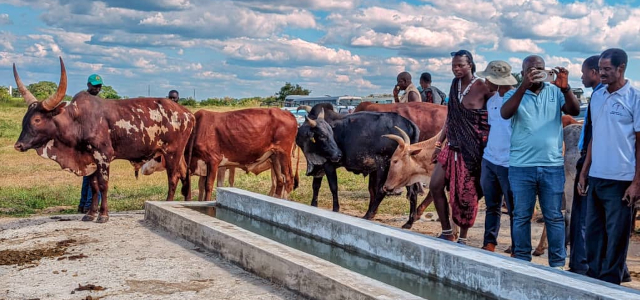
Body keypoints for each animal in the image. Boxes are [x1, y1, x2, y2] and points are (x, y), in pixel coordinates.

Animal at [13, 58, 194, 223]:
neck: (78, 121)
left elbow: (103, 185)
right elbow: (93, 187)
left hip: (172, 153)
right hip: (177, 154)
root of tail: (186, 112)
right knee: (184, 173)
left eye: (37, 119)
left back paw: (168, 204)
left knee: (173, 178)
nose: (18, 145)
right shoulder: (90, 158)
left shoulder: (103, 156)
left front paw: (103, 215)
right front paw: (90, 213)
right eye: (25, 117)